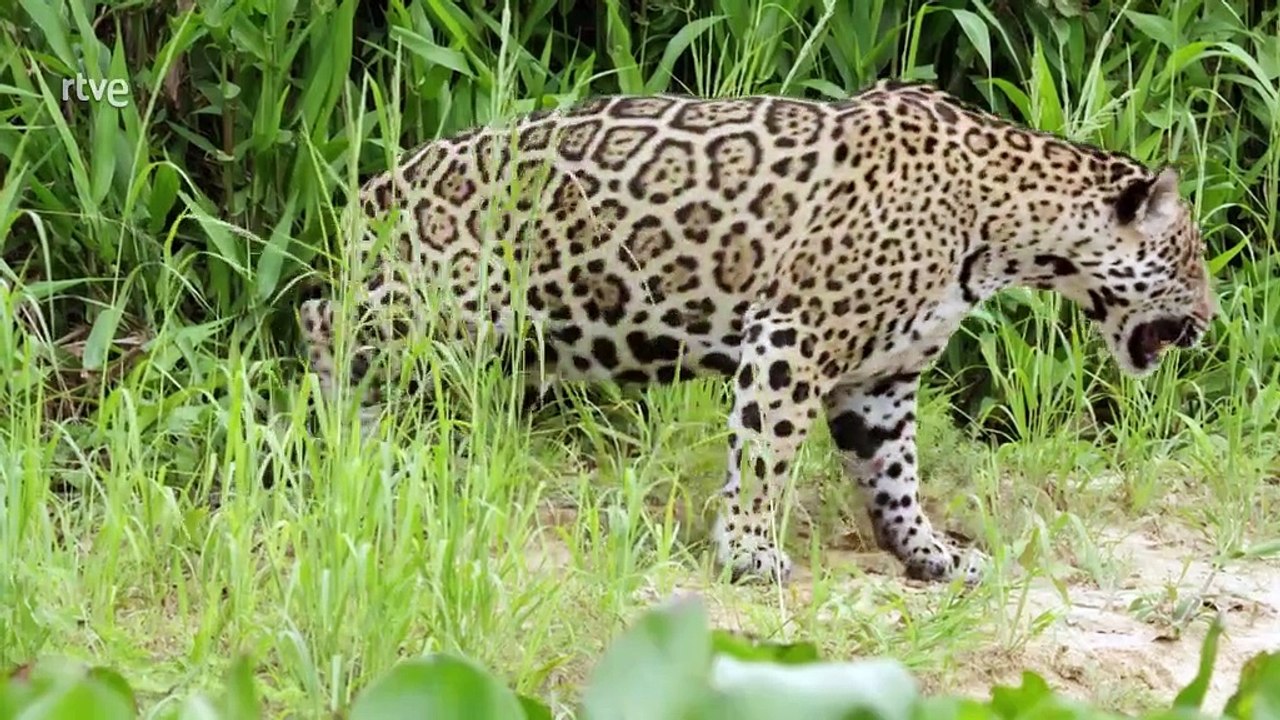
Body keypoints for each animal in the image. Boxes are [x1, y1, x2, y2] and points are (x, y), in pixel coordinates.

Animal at [297, 78, 1218, 586]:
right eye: (1193, 256)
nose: (1209, 325)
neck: (1007, 230)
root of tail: (370, 190)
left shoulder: (882, 380)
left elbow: (896, 477)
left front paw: (930, 554)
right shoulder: (794, 335)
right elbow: (769, 454)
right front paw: (747, 554)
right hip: (429, 310)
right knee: (323, 325)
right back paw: (343, 441)